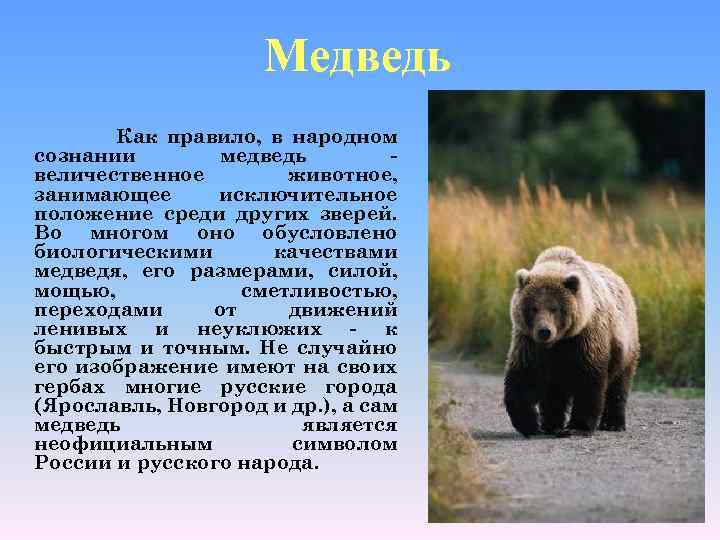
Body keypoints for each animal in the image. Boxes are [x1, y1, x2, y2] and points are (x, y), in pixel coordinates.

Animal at [503, 246, 639, 437]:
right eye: (533, 308)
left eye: (554, 308)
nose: (544, 331)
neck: (558, 342)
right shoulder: (529, 342)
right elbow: (524, 376)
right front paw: (529, 424)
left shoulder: (585, 337)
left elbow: (588, 379)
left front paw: (578, 426)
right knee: (554, 393)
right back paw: (551, 424)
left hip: (624, 343)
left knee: (619, 384)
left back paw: (613, 423)